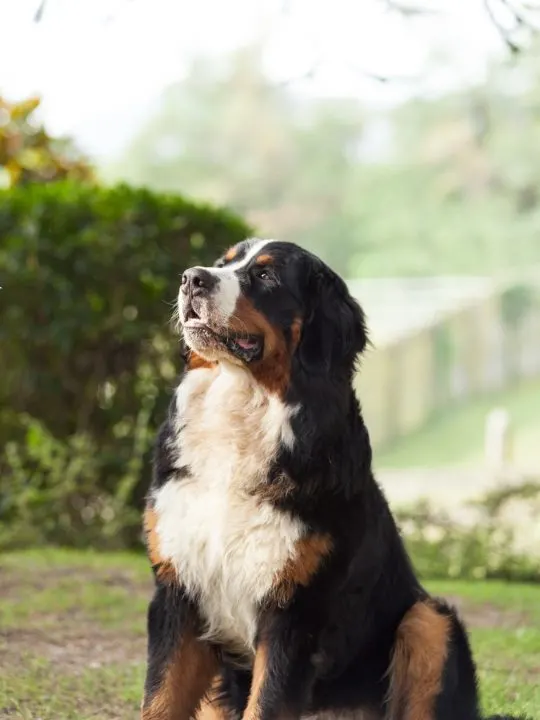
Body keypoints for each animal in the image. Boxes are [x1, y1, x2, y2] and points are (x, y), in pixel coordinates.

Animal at [140, 240, 532, 720]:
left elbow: (266, 703)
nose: (191, 278)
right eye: (222, 264)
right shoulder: (176, 593)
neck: (243, 410)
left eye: (266, 276)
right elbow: (160, 700)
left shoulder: (297, 611)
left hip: (429, 621)